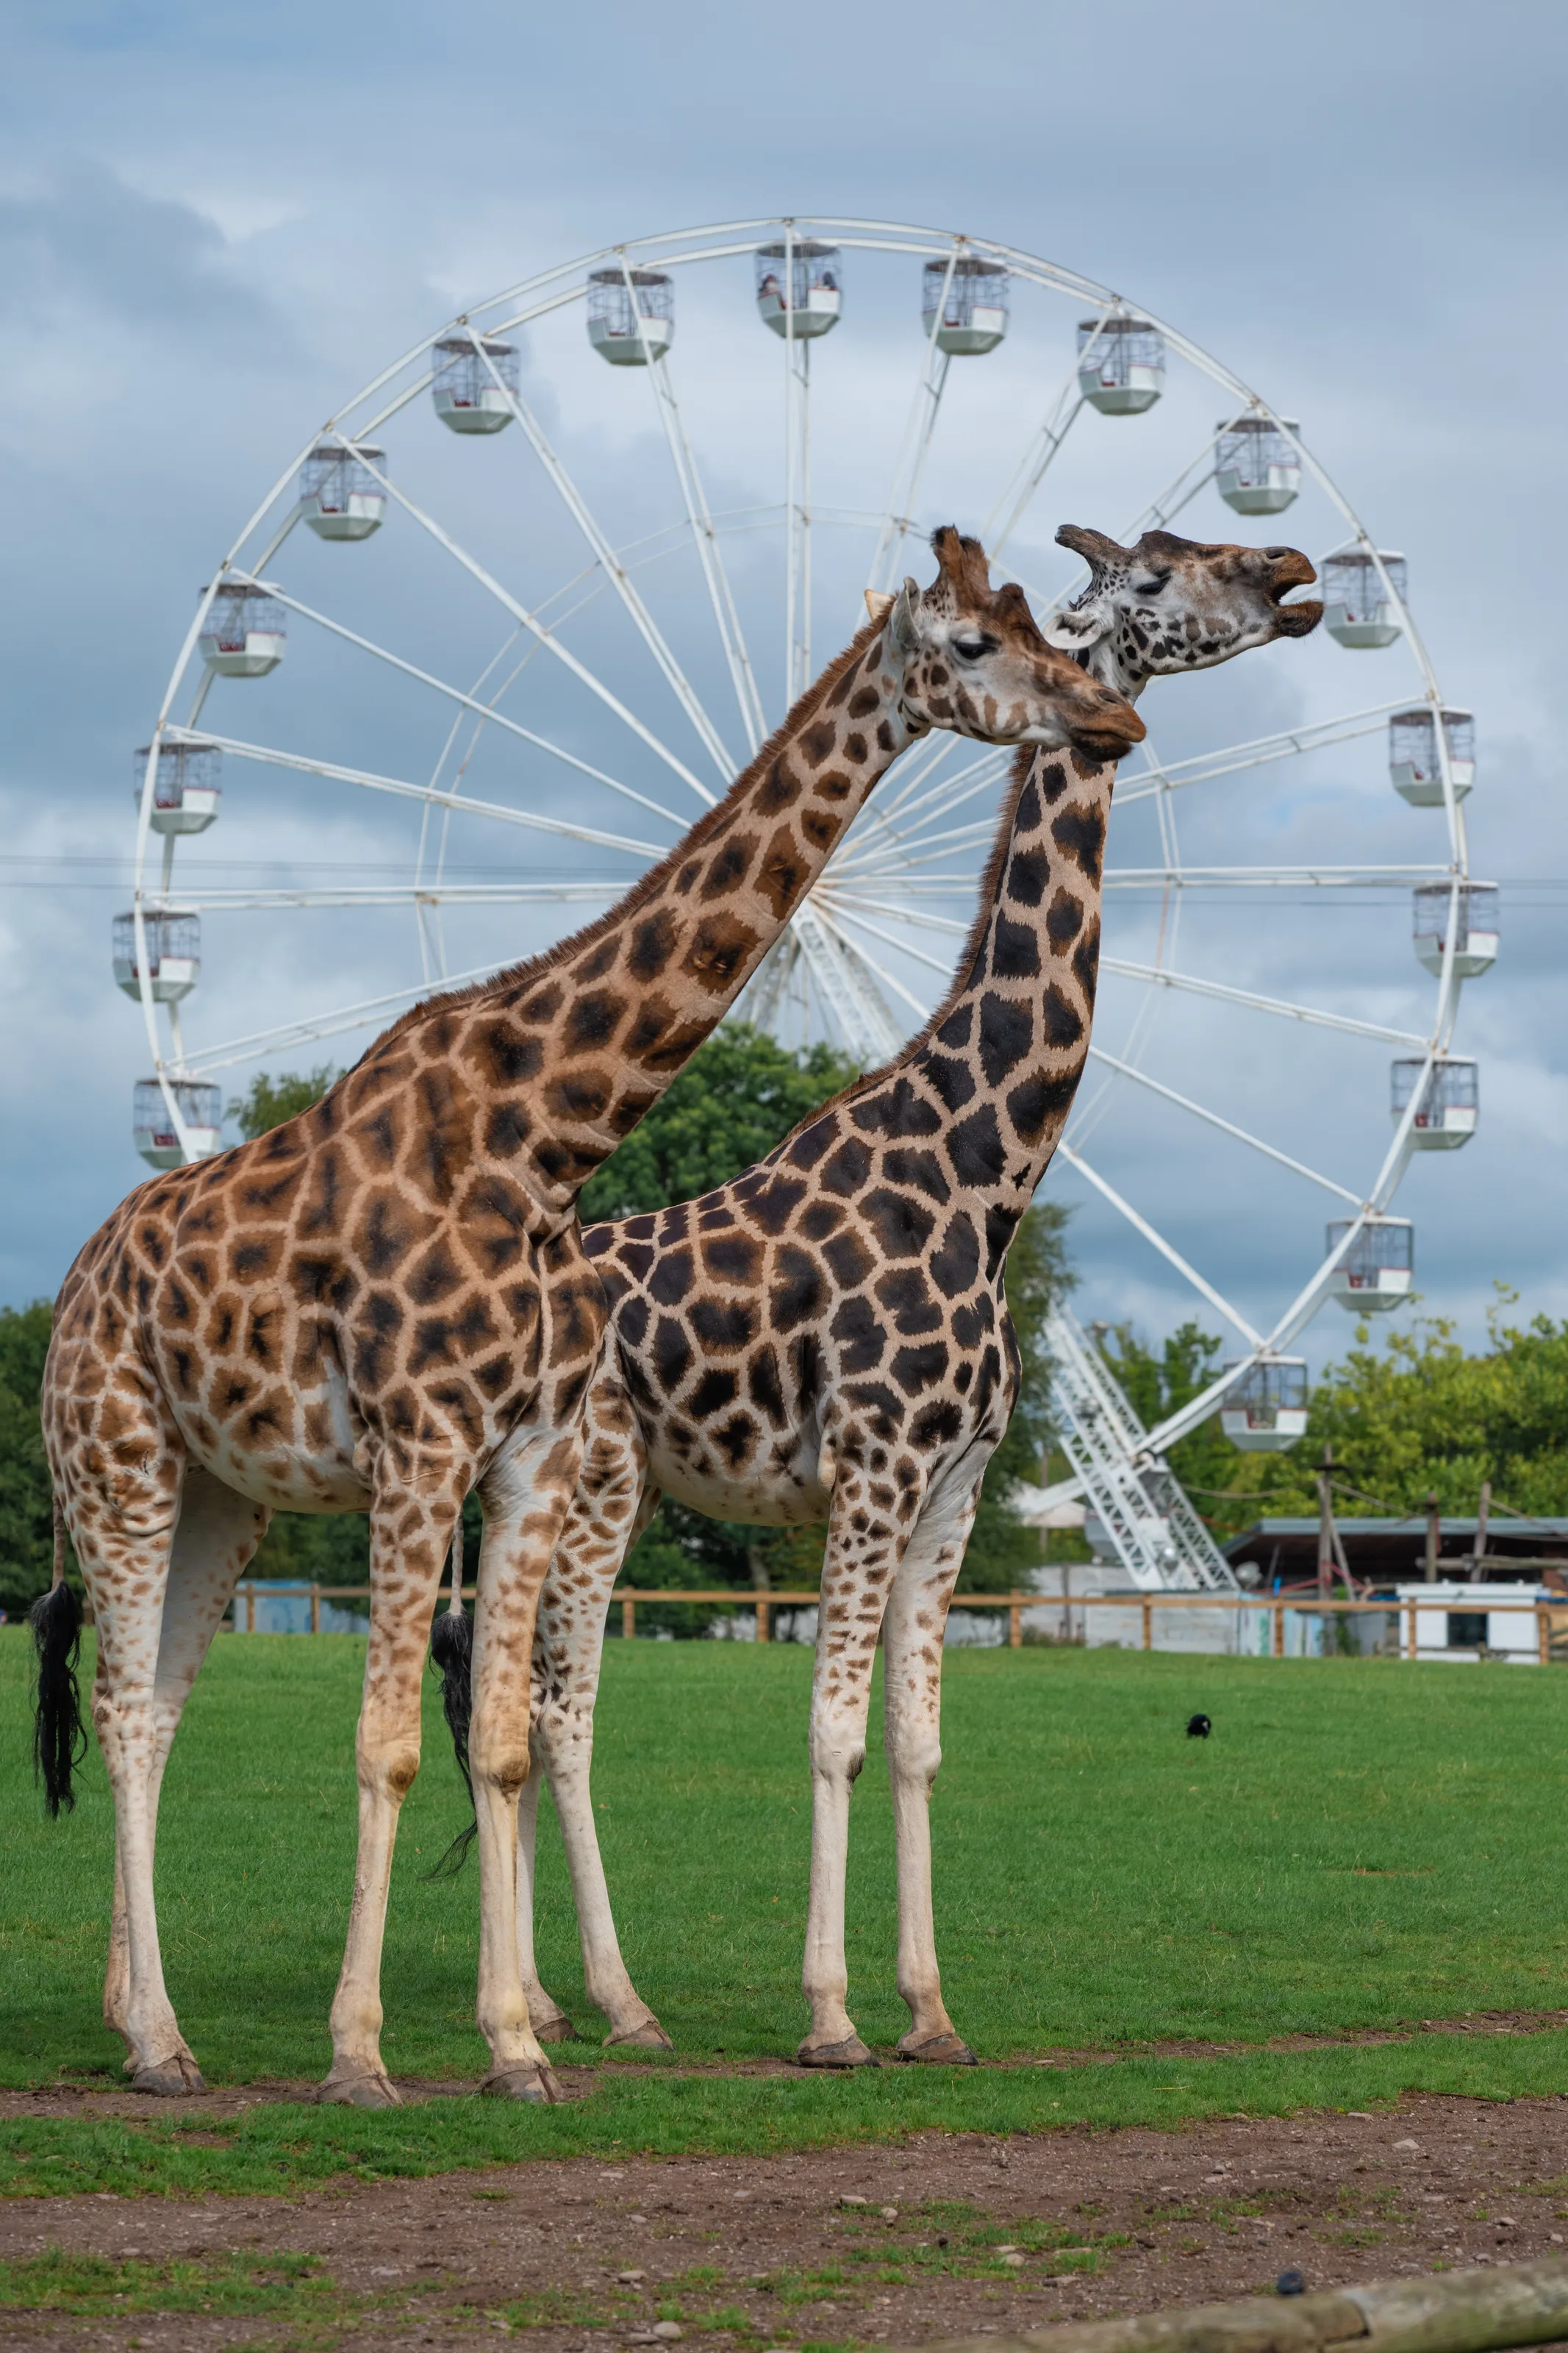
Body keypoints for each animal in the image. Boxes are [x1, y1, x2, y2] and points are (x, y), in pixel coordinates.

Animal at [35, 529, 1142, 2109]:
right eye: (977, 645)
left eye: (1056, 624)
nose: (1110, 719)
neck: (543, 1130)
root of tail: (75, 1279)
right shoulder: (436, 1447)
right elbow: (394, 1746)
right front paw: (364, 2056)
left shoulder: (536, 1453)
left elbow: (507, 1742)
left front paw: (511, 2047)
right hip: (120, 1459)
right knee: (129, 1715)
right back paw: (171, 2044)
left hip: (225, 1495)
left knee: (171, 1712)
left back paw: (147, 2014)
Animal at [478, 527, 1322, 2062]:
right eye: (1161, 570)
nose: (1291, 565)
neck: (984, 1172)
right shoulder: (869, 1471)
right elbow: (833, 1732)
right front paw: (829, 2017)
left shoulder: (956, 1489)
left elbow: (922, 1743)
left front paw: (930, 2011)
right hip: (598, 1486)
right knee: (555, 1711)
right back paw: (611, 2005)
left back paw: (556, 2006)